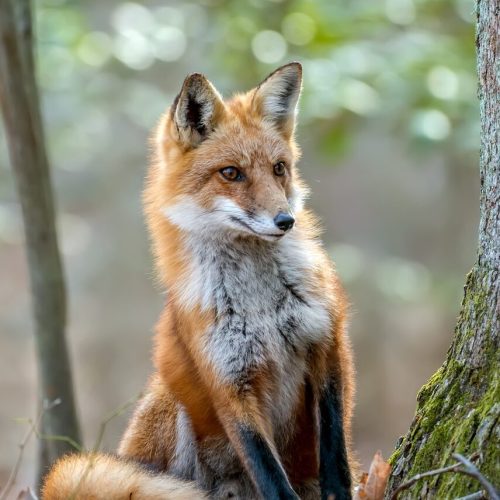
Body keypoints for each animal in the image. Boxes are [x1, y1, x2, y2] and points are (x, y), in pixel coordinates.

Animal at [44, 63, 356, 500]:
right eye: (231, 173)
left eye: (279, 168)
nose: (285, 221)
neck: (261, 303)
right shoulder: (228, 382)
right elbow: (267, 471)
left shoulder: (328, 344)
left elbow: (335, 446)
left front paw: (340, 490)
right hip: (172, 400)